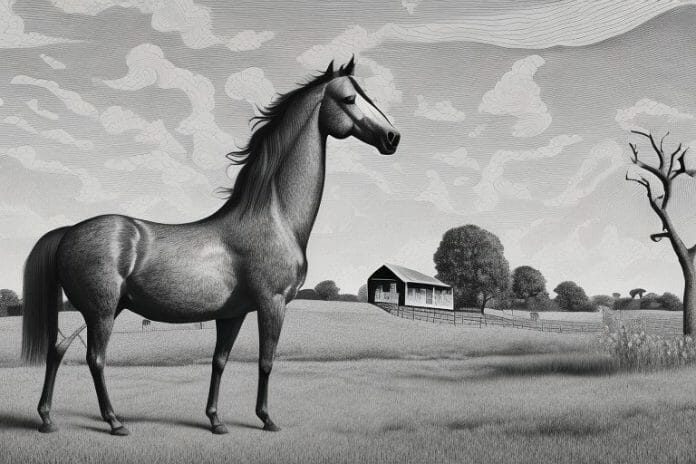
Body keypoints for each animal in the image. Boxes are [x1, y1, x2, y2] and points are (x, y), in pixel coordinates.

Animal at [20, 57, 400, 436]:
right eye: (350, 99)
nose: (392, 138)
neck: (274, 217)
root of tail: (69, 232)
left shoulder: (232, 314)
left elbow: (220, 361)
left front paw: (216, 420)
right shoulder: (272, 303)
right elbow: (266, 361)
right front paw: (266, 419)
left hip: (100, 310)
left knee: (59, 349)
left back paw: (47, 419)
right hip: (101, 311)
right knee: (95, 358)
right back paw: (114, 422)